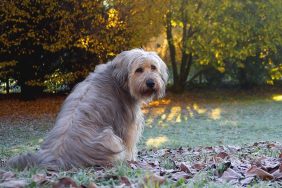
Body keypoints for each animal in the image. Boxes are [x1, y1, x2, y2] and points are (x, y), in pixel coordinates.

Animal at [8, 48, 167, 170]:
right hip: (109, 138)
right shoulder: (127, 125)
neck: (118, 78)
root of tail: (54, 158)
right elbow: (129, 145)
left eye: (153, 67)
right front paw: (131, 160)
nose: (151, 83)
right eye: (139, 70)